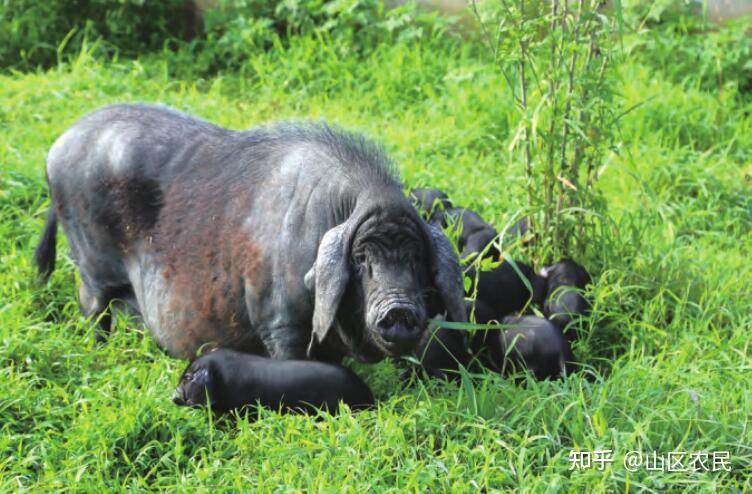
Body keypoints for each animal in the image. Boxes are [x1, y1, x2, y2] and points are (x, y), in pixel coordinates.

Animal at [39, 103, 470, 358]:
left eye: (416, 257)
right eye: (361, 258)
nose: (399, 309)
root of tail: (57, 146)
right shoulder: (277, 318)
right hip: (91, 262)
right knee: (92, 303)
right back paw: (99, 349)